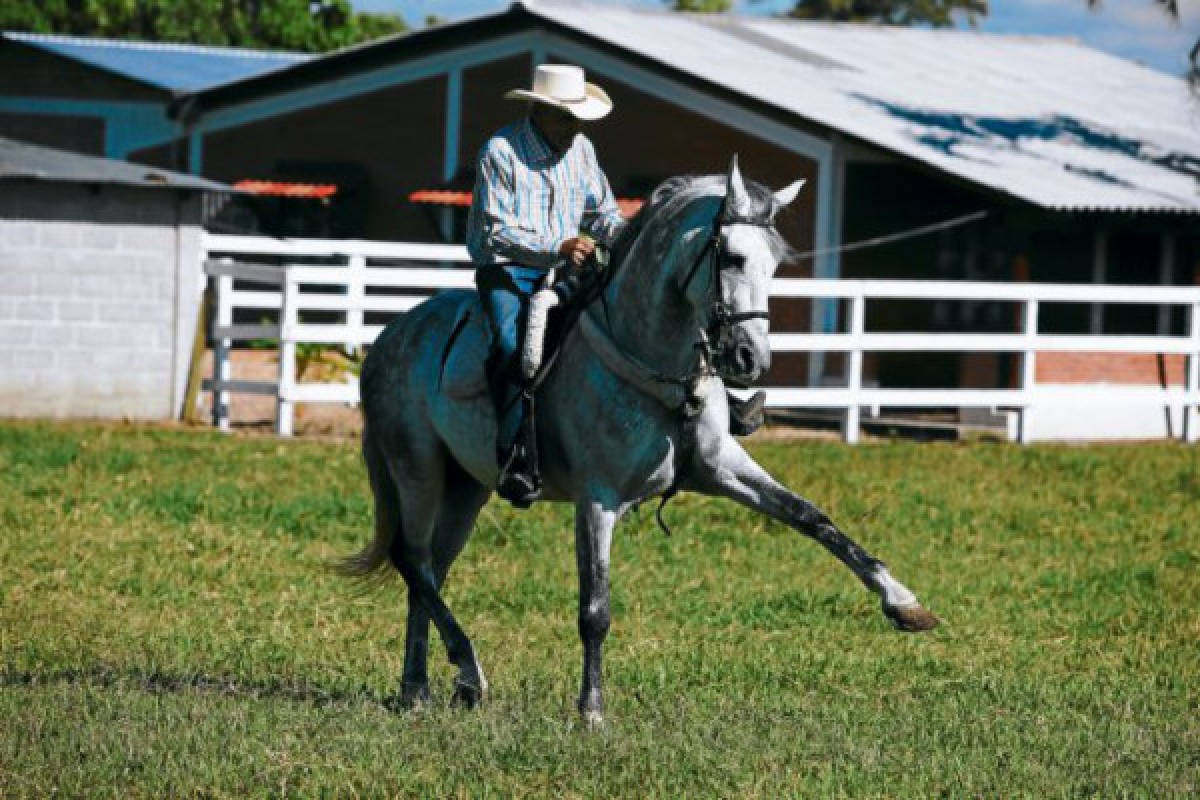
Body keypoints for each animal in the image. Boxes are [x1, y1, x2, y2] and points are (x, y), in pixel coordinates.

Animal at [343, 155, 940, 724]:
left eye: (774, 262)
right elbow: (595, 609)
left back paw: (420, 687)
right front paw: (592, 709)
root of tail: (387, 339)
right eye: (732, 258)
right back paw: (466, 672)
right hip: (418, 470)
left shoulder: (721, 469)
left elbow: (813, 518)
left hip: (467, 486)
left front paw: (904, 602)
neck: (656, 364)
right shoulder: (598, 500)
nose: (751, 359)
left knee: (430, 570)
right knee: (413, 560)